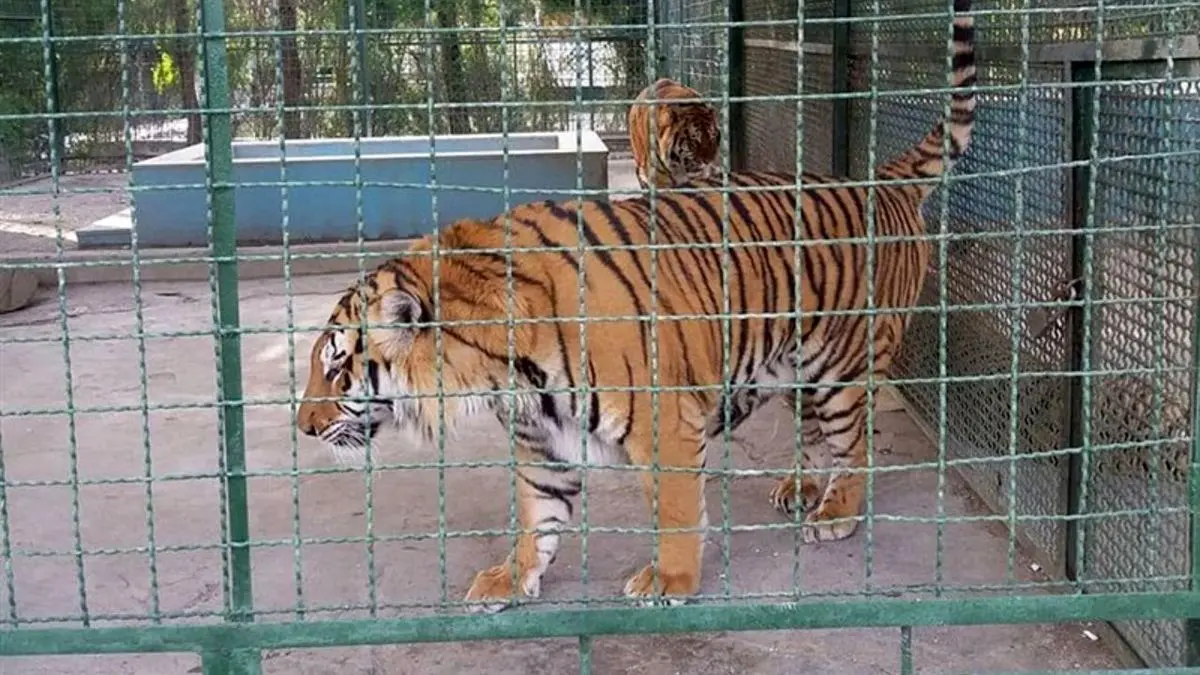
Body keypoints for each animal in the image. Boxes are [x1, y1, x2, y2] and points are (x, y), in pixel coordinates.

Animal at [297, 0, 974, 610]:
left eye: (336, 365)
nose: (302, 427)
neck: (500, 374)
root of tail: (881, 181)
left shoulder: (665, 421)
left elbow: (674, 509)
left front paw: (670, 580)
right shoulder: (542, 443)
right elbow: (538, 518)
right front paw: (509, 579)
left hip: (844, 366)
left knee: (854, 443)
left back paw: (836, 511)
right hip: (797, 363)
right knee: (814, 433)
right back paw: (801, 487)